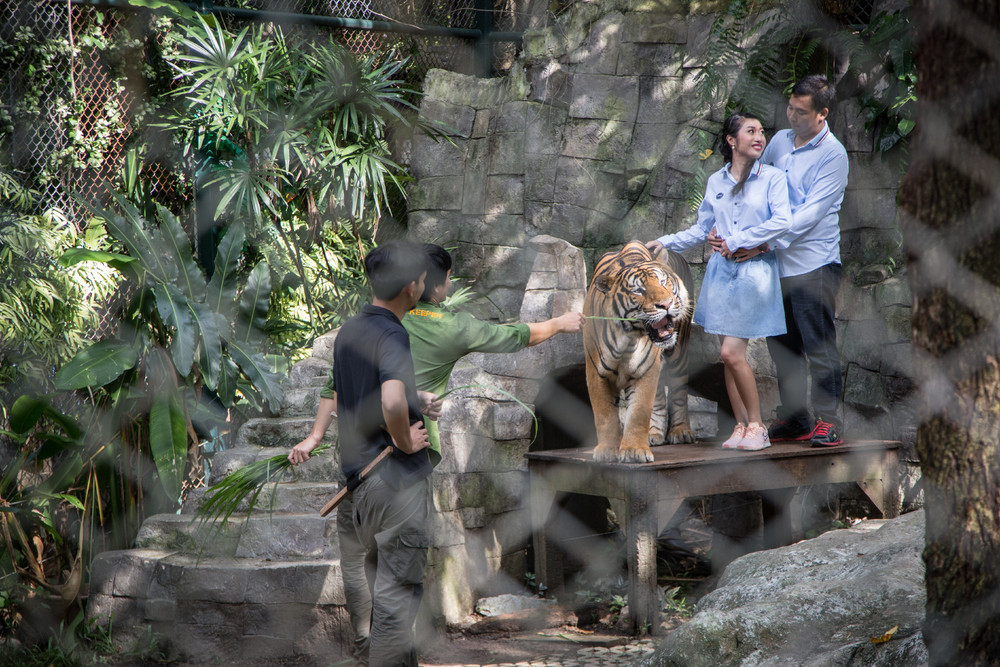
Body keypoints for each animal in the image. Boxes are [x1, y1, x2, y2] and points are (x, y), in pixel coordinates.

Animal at [584, 240, 692, 464]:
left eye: (663, 282)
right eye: (639, 291)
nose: (666, 304)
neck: (627, 340)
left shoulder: (645, 370)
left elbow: (639, 412)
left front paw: (634, 451)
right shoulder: (596, 373)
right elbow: (604, 414)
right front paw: (608, 450)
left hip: (679, 353)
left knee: (678, 391)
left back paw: (680, 432)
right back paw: (654, 434)